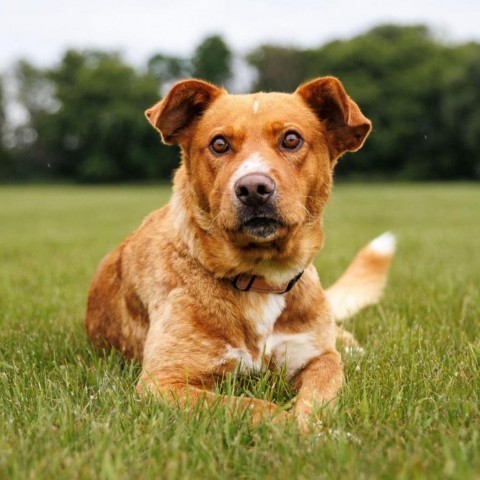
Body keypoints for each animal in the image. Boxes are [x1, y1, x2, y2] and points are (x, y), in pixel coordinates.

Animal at [85, 76, 394, 428]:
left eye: (291, 139)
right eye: (219, 144)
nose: (253, 188)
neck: (260, 276)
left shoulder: (320, 357)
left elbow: (317, 397)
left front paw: (310, 426)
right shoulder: (163, 381)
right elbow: (249, 406)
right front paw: (288, 425)